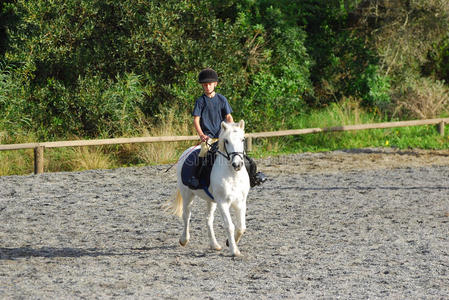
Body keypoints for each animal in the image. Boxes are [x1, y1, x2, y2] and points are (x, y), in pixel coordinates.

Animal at [166, 120, 250, 256]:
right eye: (226, 141)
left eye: (242, 139)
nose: (237, 164)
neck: (232, 174)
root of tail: (185, 153)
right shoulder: (223, 203)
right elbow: (229, 226)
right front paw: (234, 250)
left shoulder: (241, 202)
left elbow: (241, 227)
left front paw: (230, 242)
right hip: (187, 194)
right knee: (186, 216)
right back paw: (184, 240)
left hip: (211, 201)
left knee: (208, 219)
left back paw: (214, 245)